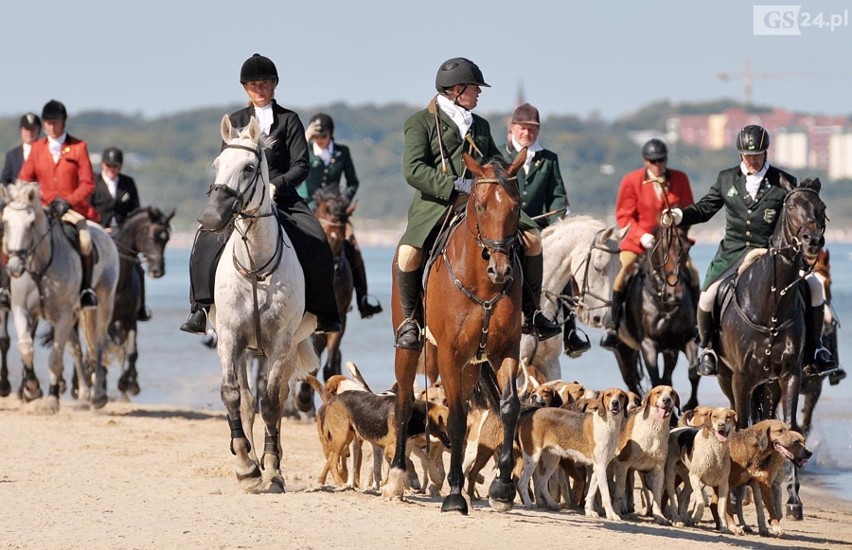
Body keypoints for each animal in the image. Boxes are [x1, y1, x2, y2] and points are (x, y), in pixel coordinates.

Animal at [0, 183, 118, 412]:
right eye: (5, 222)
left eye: (31, 224)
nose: (15, 267)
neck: (39, 267)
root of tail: (104, 232)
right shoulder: (21, 310)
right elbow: (25, 345)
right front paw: (31, 389)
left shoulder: (61, 316)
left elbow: (55, 359)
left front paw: (52, 399)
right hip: (73, 315)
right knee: (77, 351)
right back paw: (84, 394)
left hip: (104, 304)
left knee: (98, 344)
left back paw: (98, 395)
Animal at [197, 116, 320, 496]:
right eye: (216, 165)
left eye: (249, 167)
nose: (210, 218)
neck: (255, 264)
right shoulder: (229, 337)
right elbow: (232, 395)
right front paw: (245, 465)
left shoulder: (280, 343)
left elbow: (272, 402)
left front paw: (272, 471)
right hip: (245, 349)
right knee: (249, 400)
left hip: (283, 349)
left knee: (275, 398)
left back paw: (272, 459)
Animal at [386, 152, 524, 516]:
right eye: (481, 204)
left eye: (517, 205)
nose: (501, 270)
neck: (483, 281)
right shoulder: (449, 354)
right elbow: (458, 420)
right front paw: (454, 496)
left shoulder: (506, 349)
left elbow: (508, 407)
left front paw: (503, 488)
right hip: (410, 350)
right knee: (404, 403)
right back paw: (397, 476)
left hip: (472, 365)